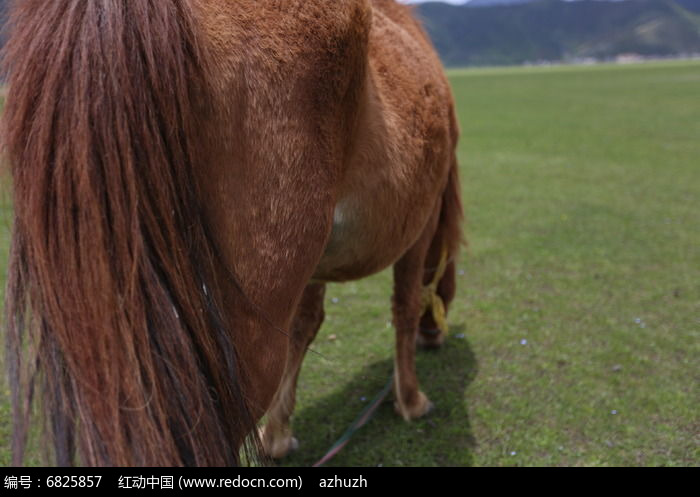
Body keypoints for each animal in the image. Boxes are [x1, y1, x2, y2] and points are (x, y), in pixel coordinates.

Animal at [2, 0, 462, 464]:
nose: (434, 337)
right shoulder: (420, 230)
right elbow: (405, 305)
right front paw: (411, 400)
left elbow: (305, 324)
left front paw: (276, 434)